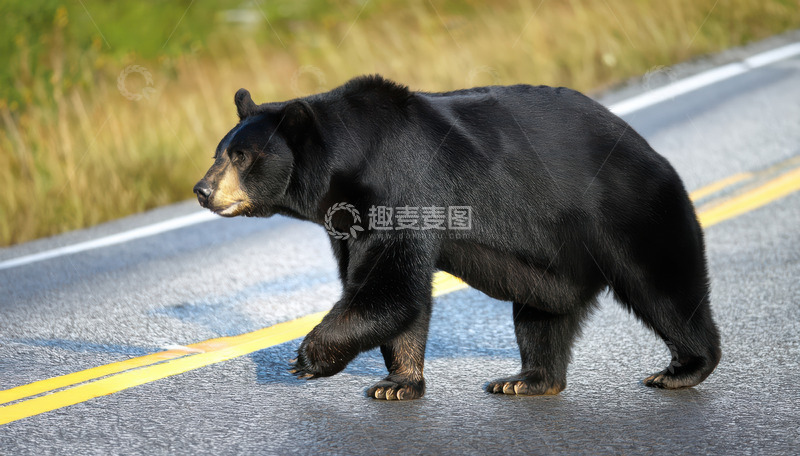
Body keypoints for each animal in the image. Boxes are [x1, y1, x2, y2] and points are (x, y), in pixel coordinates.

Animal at [193, 74, 721, 400]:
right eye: (219, 152)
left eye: (241, 156)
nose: (201, 190)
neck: (350, 169)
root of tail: (649, 149)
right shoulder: (348, 223)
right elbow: (388, 291)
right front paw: (397, 382)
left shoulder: (404, 187)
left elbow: (391, 286)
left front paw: (307, 357)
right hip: (552, 259)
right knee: (542, 315)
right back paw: (527, 379)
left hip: (630, 207)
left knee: (662, 285)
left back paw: (682, 368)